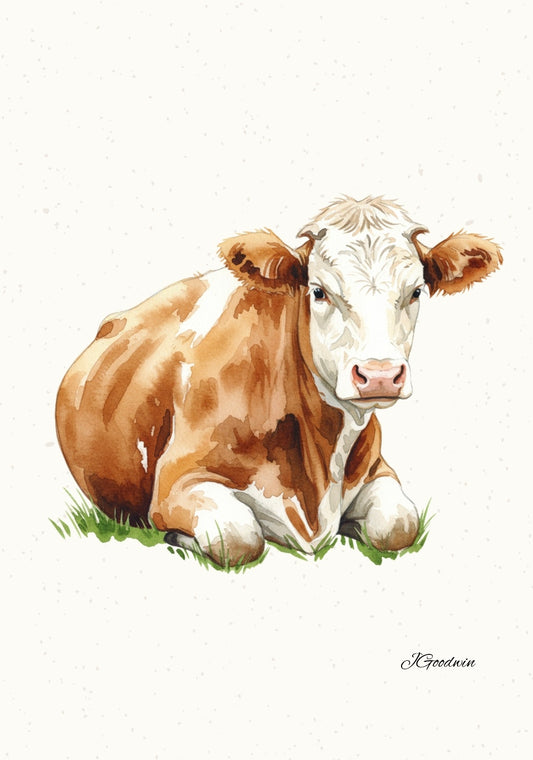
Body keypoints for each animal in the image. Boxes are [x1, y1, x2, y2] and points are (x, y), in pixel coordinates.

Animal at [56, 196, 502, 566]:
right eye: (319, 291)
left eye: (416, 292)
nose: (379, 375)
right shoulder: (176, 483)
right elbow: (239, 538)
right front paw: (178, 537)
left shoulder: (379, 470)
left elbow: (398, 525)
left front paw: (353, 526)